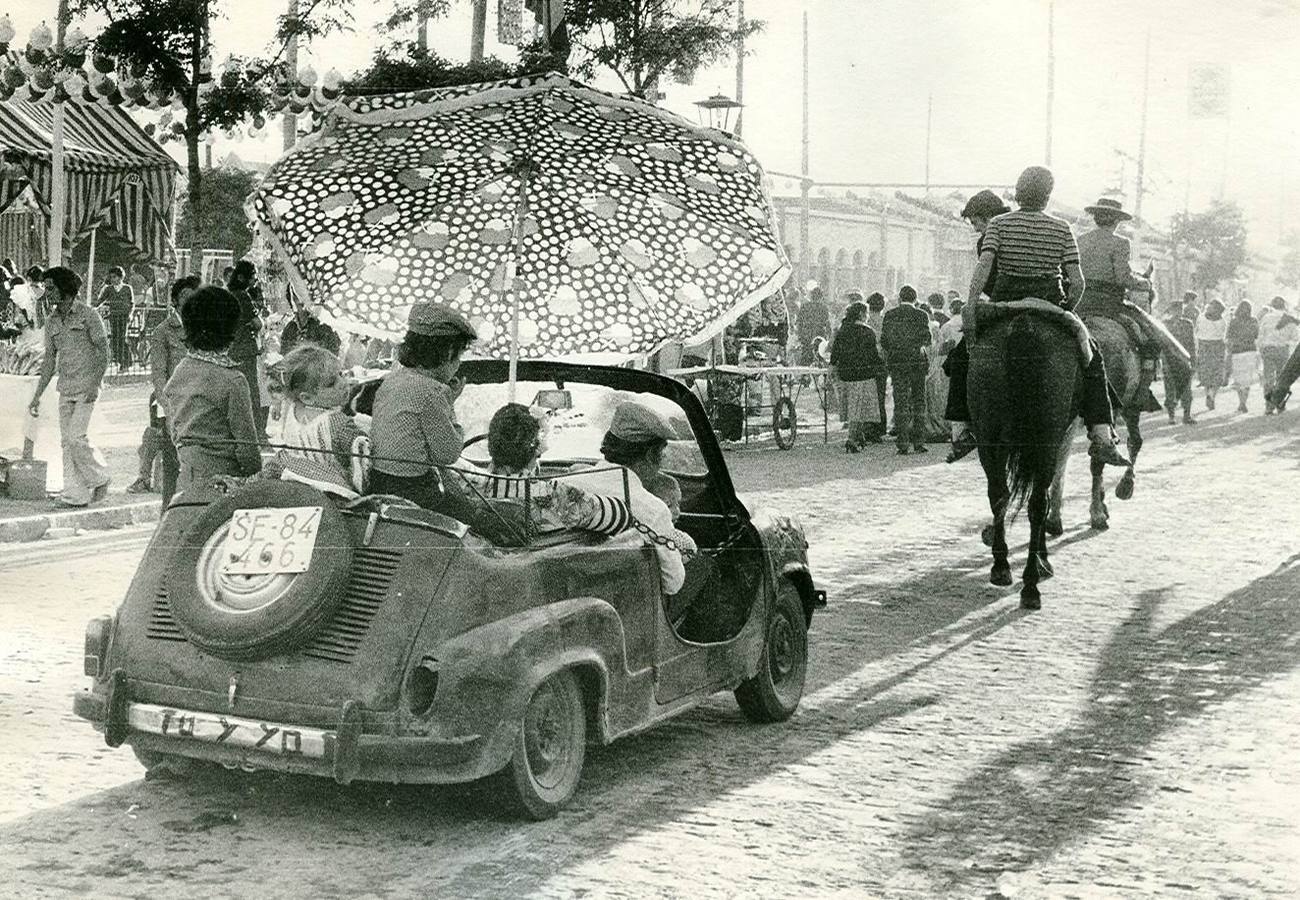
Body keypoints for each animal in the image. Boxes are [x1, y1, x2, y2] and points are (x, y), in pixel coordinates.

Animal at [972, 310, 1081, 611]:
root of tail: (1024, 325)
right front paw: (1044, 559)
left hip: (988, 431)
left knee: (999, 494)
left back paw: (1001, 566)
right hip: (1046, 436)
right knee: (1035, 503)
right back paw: (1032, 581)